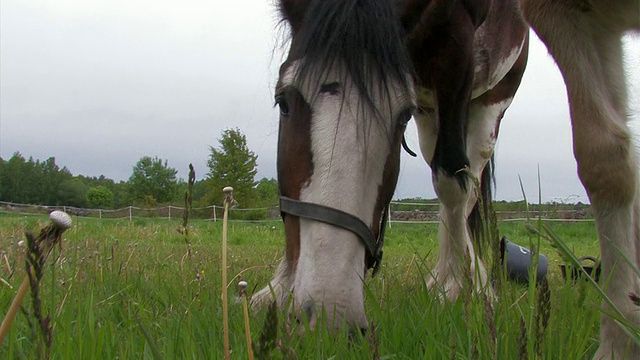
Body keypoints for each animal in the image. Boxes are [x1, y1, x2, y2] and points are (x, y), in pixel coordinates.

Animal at [254, 0, 640, 358]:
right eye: (283, 101)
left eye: (401, 116)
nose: (328, 316)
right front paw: (281, 285)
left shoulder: (459, 53)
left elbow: (453, 180)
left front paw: (469, 288)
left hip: (489, 101)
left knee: (465, 184)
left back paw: (460, 279)